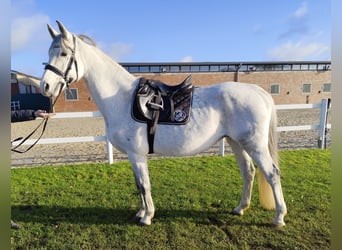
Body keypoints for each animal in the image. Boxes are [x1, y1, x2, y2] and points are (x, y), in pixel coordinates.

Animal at [40, 21, 286, 227]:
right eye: (49, 52)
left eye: (63, 53)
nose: (45, 86)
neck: (121, 98)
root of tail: (259, 92)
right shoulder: (133, 156)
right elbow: (139, 185)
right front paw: (141, 212)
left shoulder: (136, 154)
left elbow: (144, 184)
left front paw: (147, 217)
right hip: (236, 142)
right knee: (249, 172)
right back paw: (240, 208)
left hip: (254, 145)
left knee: (272, 173)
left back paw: (278, 217)